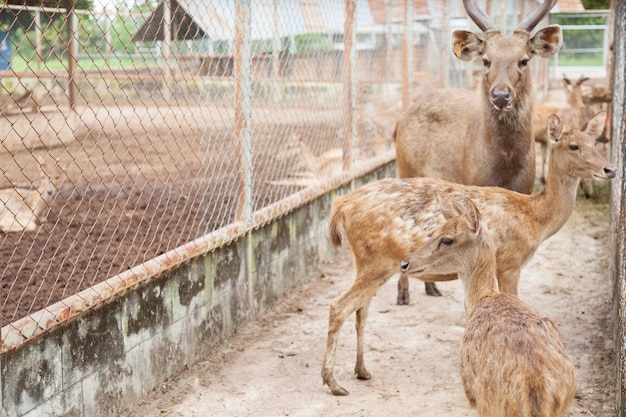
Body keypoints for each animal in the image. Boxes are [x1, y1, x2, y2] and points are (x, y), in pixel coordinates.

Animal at [394, 0, 560, 300]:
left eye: (524, 60)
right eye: (486, 60)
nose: (501, 95)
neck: (505, 166)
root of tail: (399, 120)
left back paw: (432, 287)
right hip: (404, 168)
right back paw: (403, 294)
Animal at [398, 193, 572, 416]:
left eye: (447, 239)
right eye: (434, 231)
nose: (404, 264)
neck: (483, 298)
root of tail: (535, 381)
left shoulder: (471, 395)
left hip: (488, 402)